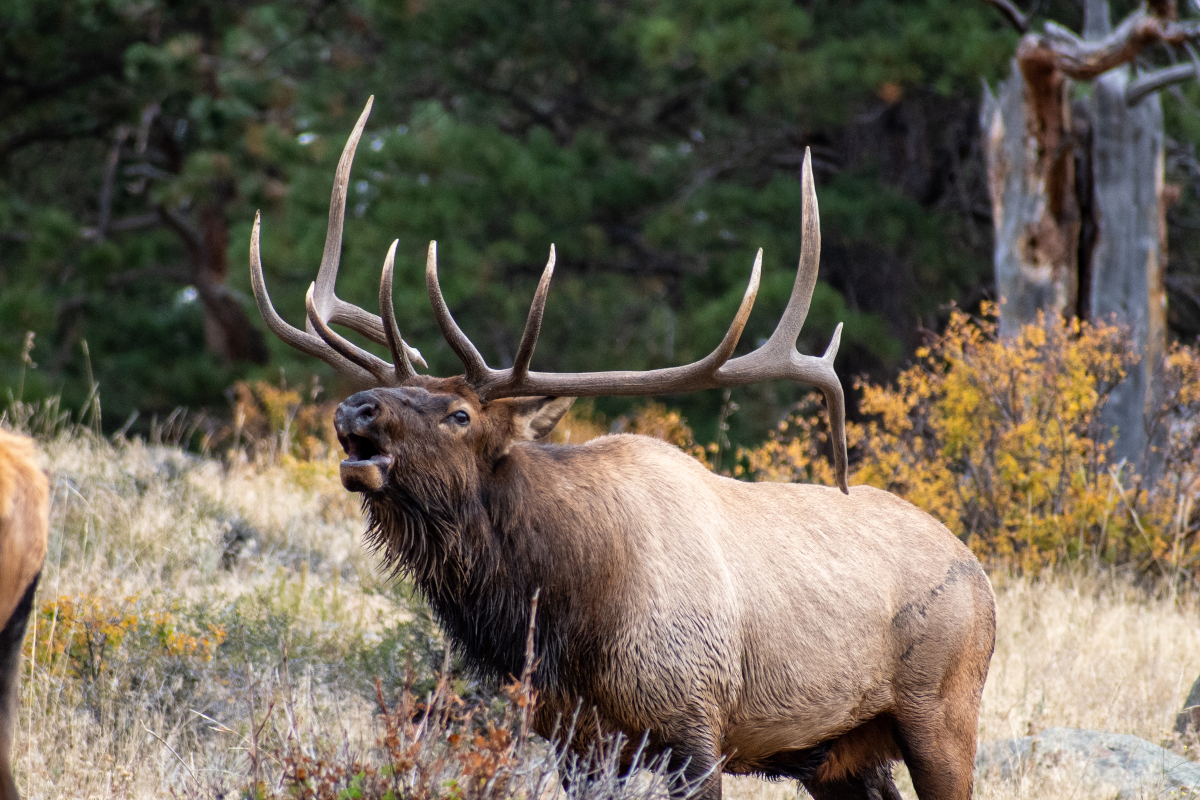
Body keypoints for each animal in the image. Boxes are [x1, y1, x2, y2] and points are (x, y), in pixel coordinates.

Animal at [250, 100, 993, 800]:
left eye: (460, 414)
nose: (355, 408)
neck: (567, 613)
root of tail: (982, 573)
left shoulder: (695, 721)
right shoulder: (572, 737)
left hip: (944, 708)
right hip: (838, 753)